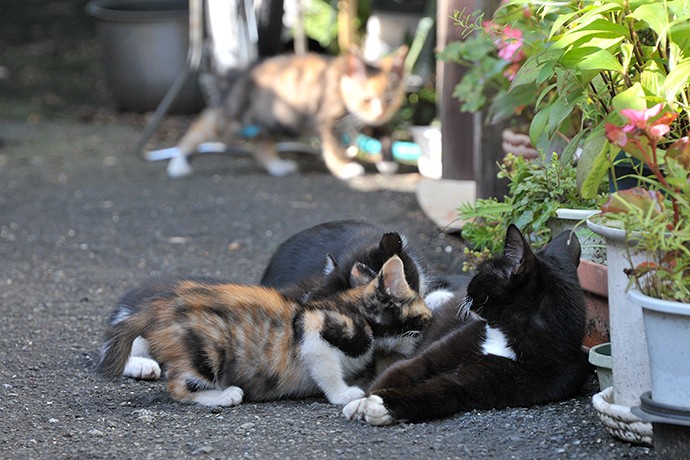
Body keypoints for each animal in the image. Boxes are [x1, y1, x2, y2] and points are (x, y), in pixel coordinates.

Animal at [97, 253, 430, 408]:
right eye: (424, 316)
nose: (431, 322)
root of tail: (161, 307)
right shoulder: (314, 329)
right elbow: (326, 368)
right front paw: (343, 394)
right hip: (209, 346)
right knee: (178, 387)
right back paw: (223, 395)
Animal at [165, 47, 406, 181]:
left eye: (389, 100)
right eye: (366, 99)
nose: (380, 113)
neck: (340, 80)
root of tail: (240, 72)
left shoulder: (363, 119)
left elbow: (384, 132)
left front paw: (387, 161)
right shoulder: (326, 118)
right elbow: (332, 147)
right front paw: (344, 168)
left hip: (271, 120)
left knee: (261, 145)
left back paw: (278, 167)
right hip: (236, 114)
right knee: (203, 125)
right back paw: (178, 163)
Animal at [342, 225, 588, 426]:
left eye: (482, 274)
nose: (468, 286)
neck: (505, 337)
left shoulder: (492, 383)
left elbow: (441, 391)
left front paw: (382, 407)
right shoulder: (446, 348)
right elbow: (405, 369)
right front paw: (361, 402)